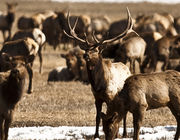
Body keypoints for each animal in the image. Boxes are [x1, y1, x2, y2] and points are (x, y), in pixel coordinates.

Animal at [63, 8, 134, 138]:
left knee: (126, 113)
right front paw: (96, 135)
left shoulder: (111, 96)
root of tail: (126, 67)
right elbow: (97, 117)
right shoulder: (97, 98)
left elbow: (112, 115)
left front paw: (115, 134)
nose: (86, 55)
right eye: (86, 49)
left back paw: (125, 133)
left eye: (96, 50)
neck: (99, 84)